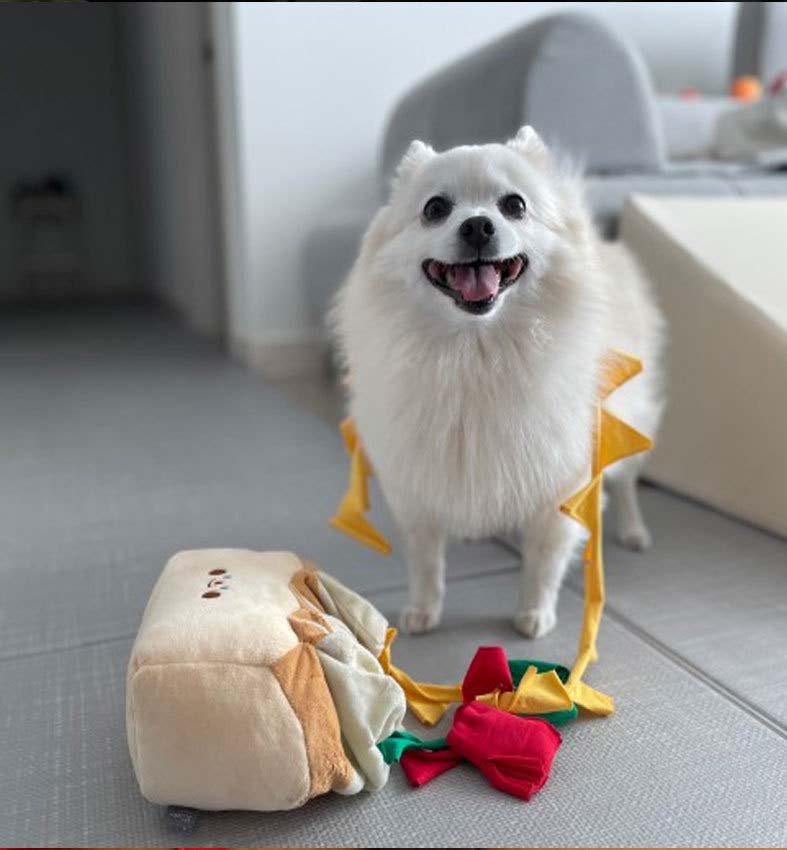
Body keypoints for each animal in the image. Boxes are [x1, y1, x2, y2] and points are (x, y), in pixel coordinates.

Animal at [330, 122, 664, 632]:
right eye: (435, 209)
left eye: (515, 206)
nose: (477, 225)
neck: (475, 354)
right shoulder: (417, 482)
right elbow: (426, 561)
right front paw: (423, 610)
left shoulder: (560, 482)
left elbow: (544, 559)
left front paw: (534, 613)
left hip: (626, 423)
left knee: (626, 482)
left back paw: (633, 530)